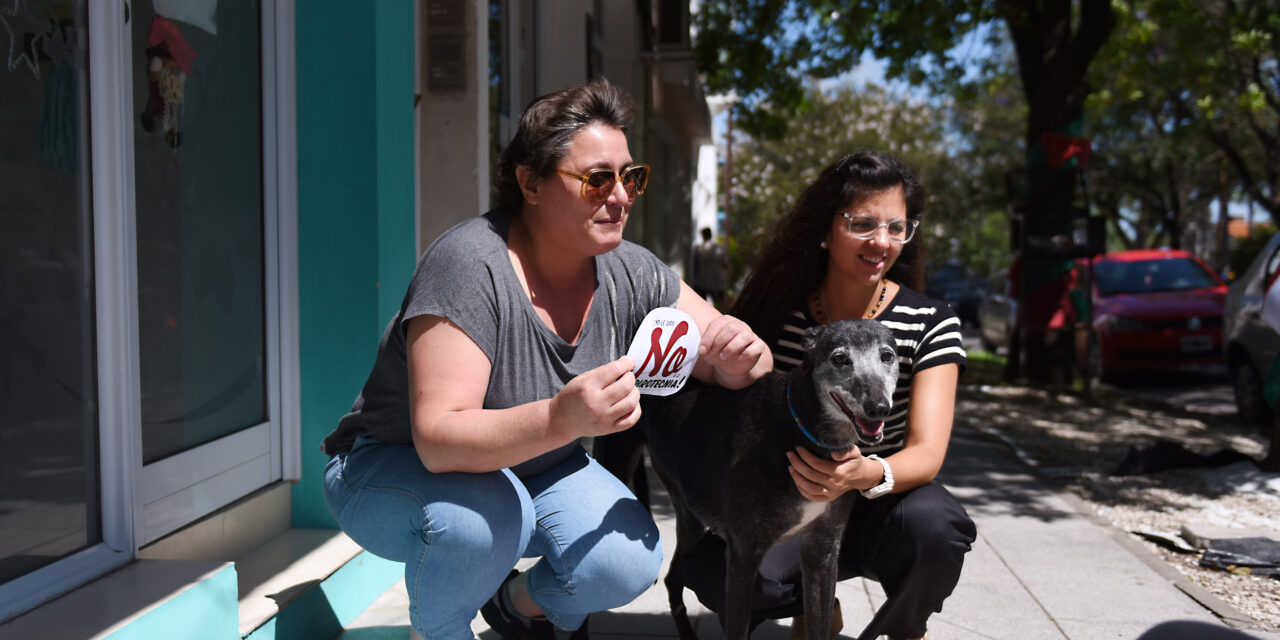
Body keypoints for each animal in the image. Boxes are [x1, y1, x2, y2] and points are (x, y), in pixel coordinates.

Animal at [634, 318, 896, 640]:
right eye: (840, 359)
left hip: (687, 511)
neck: (803, 430)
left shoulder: (823, 550)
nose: (879, 408)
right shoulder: (743, 555)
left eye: (887, 355)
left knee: (673, 578)